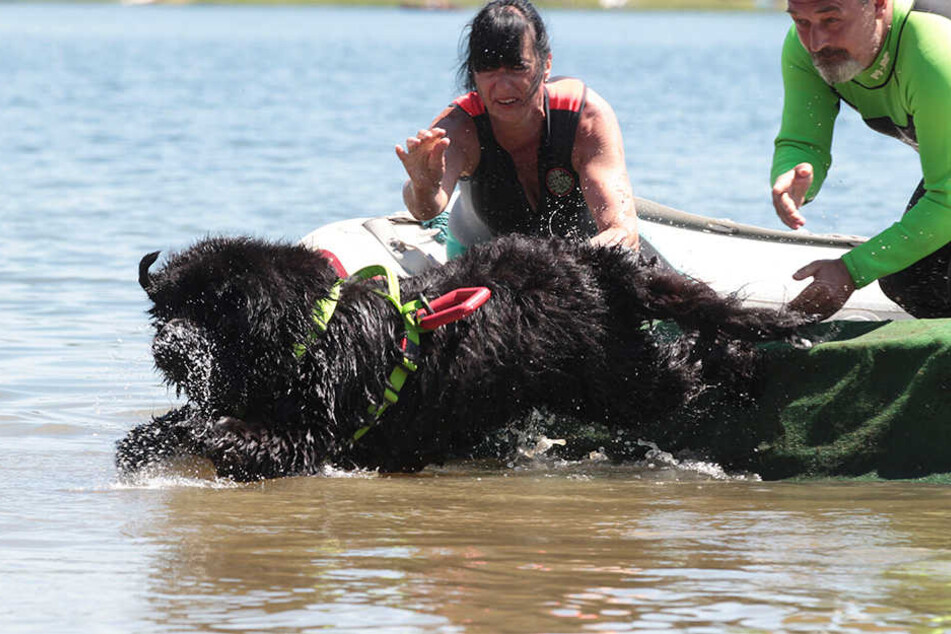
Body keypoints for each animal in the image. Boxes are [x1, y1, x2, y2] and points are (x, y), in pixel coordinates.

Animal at [119, 233, 804, 478]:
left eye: (209, 310)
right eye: (167, 308)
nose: (168, 345)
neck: (310, 335)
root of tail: (590, 263)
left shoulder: (315, 429)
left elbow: (259, 438)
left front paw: (210, 434)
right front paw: (147, 442)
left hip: (615, 380)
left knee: (687, 365)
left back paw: (744, 365)